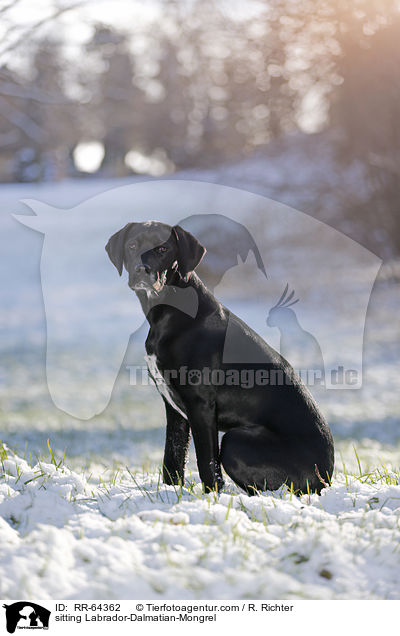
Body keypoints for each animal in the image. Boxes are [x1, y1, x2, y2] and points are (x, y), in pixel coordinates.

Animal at [104, 221, 332, 494]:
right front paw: (171, 495)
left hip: (235, 440)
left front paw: (211, 496)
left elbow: (207, 463)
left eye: (162, 249)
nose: (141, 270)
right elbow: (173, 458)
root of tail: (326, 478)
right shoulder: (174, 408)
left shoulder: (201, 405)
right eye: (132, 246)